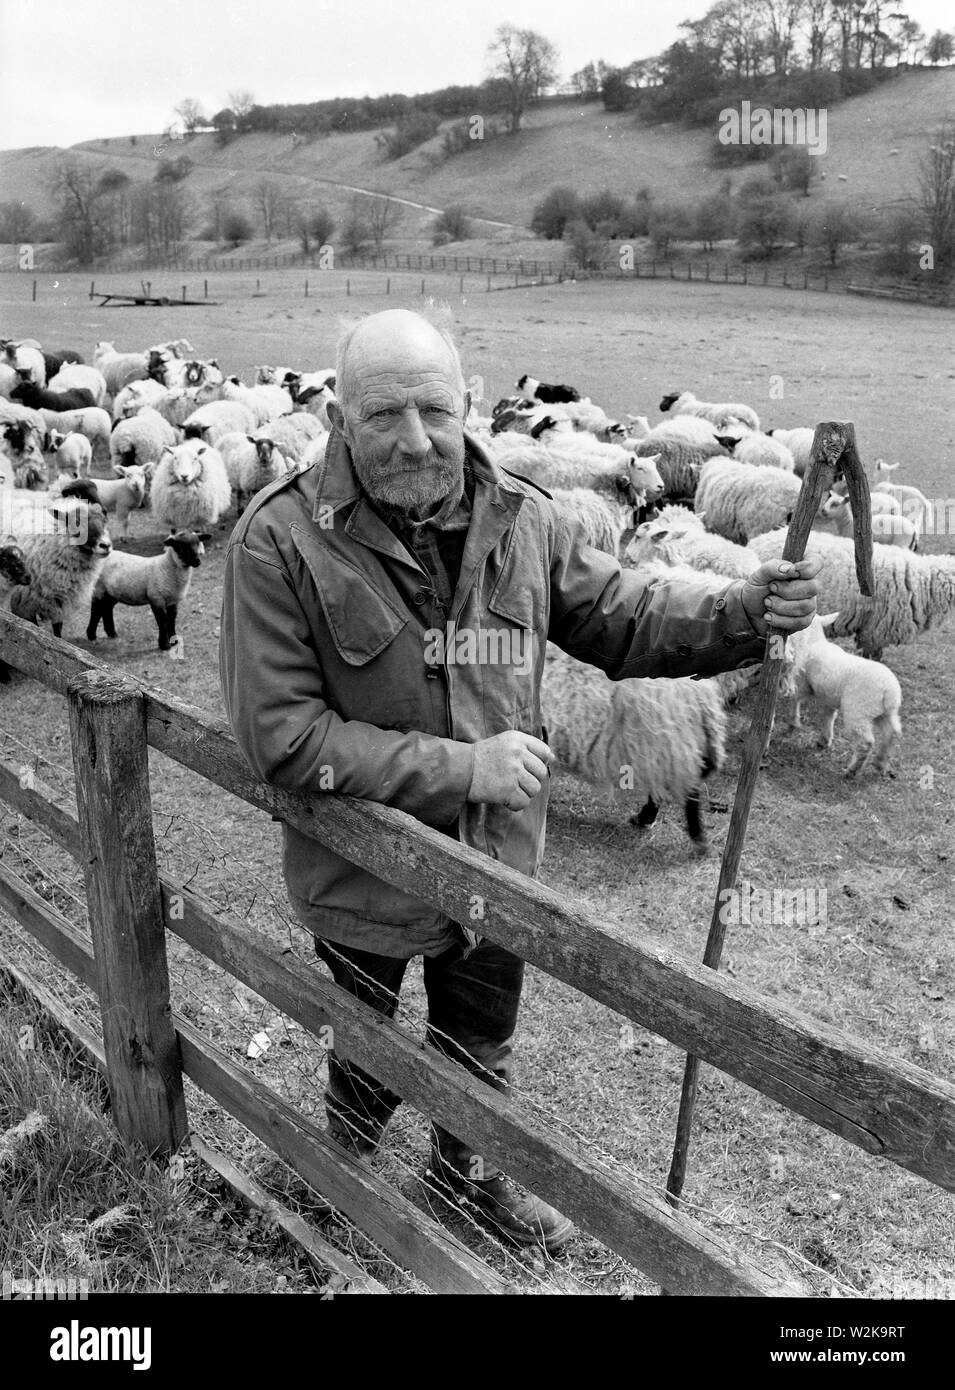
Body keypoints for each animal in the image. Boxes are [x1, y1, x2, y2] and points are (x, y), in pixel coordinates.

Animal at [778, 614, 900, 778]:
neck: (815, 640)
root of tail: (890, 692)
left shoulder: (804, 683)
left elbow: (795, 699)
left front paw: (793, 722)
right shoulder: (829, 698)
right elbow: (828, 716)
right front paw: (825, 739)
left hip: (859, 711)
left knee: (866, 742)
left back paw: (853, 770)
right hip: (884, 713)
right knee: (891, 733)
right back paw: (881, 763)